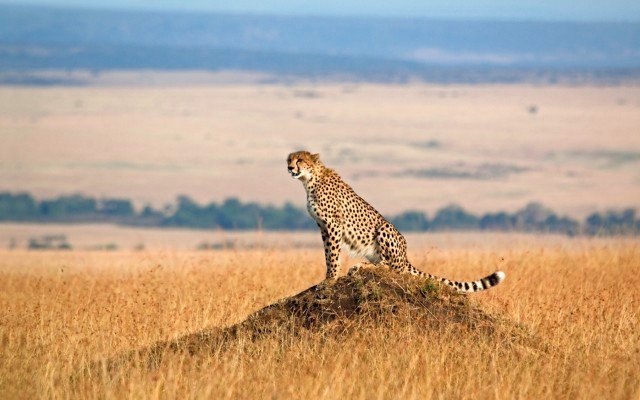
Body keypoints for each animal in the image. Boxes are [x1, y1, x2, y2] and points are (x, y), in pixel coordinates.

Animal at [287, 150, 505, 293]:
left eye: (300, 160)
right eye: (289, 159)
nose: (289, 168)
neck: (309, 180)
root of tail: (405, 256)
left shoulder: (333, 225)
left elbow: (332, 255)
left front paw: (330, 279)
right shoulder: (323, 227)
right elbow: (327, 254)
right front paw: (328, 276)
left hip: (385, 228)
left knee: (390, 267)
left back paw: (361, 266)